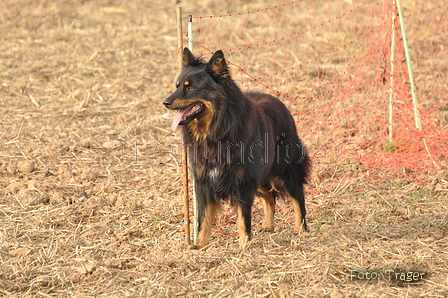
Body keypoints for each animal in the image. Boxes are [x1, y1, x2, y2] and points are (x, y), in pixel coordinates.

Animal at [163, 48, 310, 249]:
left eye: (190, 88)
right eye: (177, 86)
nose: (165, 102)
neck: (216, 130)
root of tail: (280, 103)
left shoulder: (243, 182)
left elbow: (243, 217)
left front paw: (243, 244)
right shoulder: (204, 181)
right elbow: (204, 217)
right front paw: (199, 244)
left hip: (283, 171)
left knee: (298, 197)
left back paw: (301, 229)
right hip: (261, 175)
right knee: (270, 198)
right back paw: (268, 226)